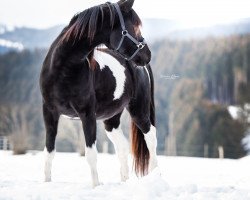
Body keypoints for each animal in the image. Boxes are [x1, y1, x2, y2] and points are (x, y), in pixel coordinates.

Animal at [39, 0, 157, 188]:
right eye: (135, 27)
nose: (147, 55)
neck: (63, 68)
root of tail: (141, 67)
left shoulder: (87, 114)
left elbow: (91, 155)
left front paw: (95, 186)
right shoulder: (50, 113)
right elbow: (49, 152)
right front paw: (47, 182)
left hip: (139, 111)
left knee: (151, 137)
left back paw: (155, 176)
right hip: (112, 119)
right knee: (122, 146)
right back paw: (125, 181)